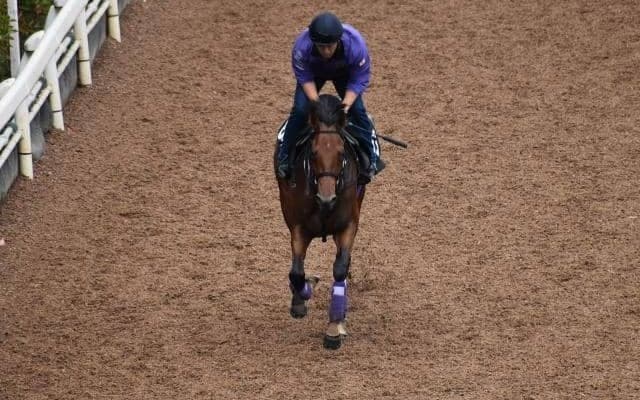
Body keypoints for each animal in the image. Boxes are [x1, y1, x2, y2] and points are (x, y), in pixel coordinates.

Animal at [274, 94, 366, 349]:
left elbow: (340, 267)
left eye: (341, 153)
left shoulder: (348, 225)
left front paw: (334, 327)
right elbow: (296, 273)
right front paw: (302, 296)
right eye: (313, 153)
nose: (327, 198)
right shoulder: (298, 228)